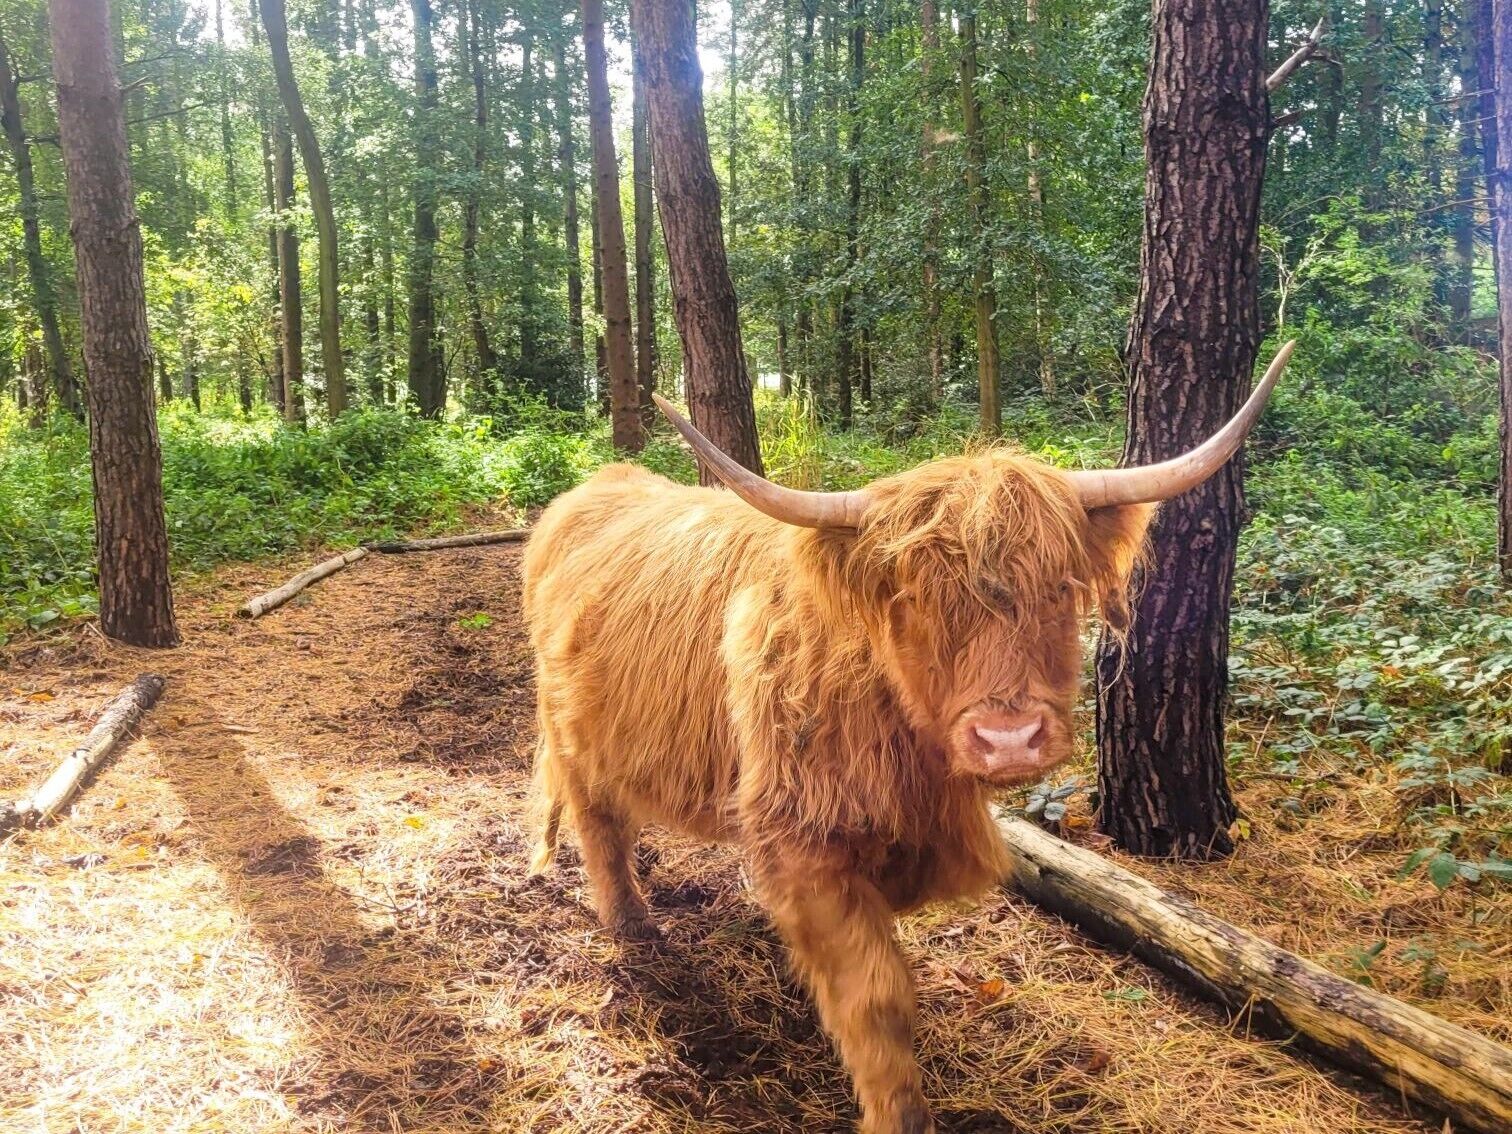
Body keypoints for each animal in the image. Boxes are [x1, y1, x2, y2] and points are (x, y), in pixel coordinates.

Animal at [522, 343, 1293, 1133]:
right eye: (917, 599)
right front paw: (899, 1111)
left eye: (1059, 589)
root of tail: (592, 491)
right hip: (571, 731)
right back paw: (633, 925)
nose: (1008, 738)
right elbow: (877, 997)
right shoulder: (803, 844)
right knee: (597, 821)